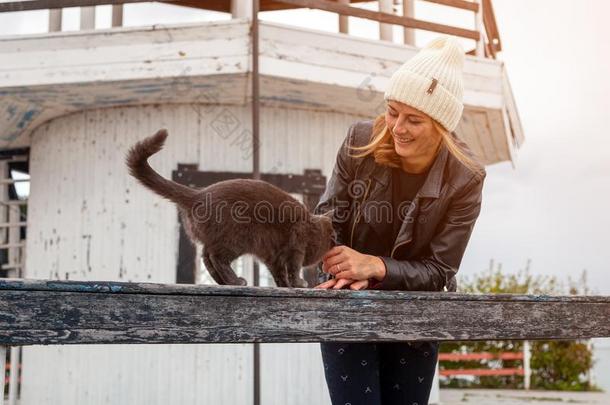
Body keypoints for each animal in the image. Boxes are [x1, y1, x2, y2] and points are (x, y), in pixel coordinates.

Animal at [123, 129, 332, 288]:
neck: (316, 229)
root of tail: (198, 194)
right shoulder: (296, 246)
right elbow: (294, 268)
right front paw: (298, 283)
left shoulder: (274, 255)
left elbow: (279, 272)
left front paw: (285, 286)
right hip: (237, 237)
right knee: (216, 257)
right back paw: (235, 281)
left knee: (207, 257)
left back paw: (226, 282)